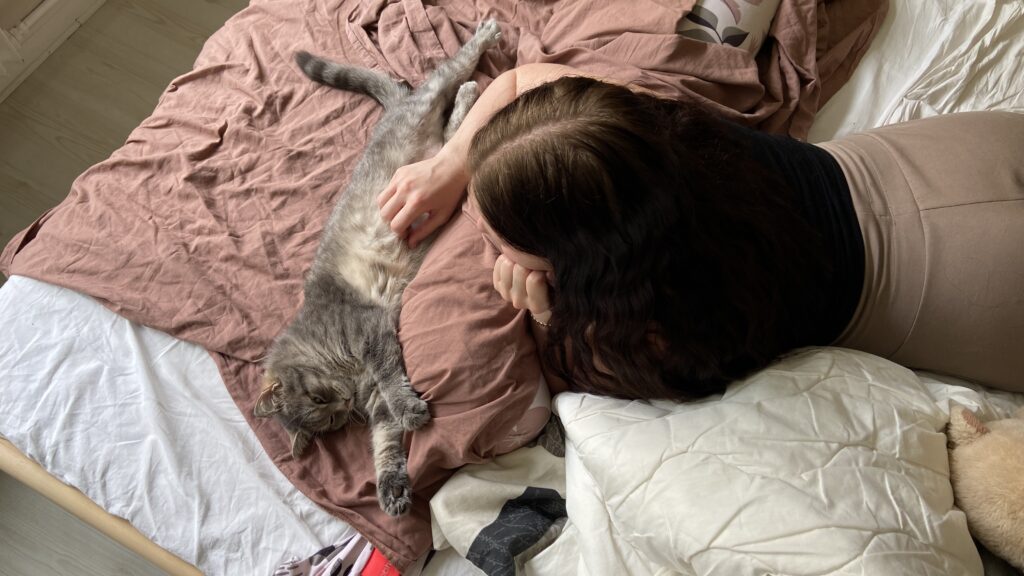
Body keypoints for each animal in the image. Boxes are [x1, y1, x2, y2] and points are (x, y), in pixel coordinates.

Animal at [251, 19, 499, 516]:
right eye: (330, 417)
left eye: (319, 397)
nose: (345, 401)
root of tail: (392, 109)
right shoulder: (372, 394)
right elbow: (385, 439)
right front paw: (392, 487)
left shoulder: (371, 333)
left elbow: (390, 379)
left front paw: (410, 410)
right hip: (437, 146)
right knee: (453, 130)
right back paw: (470, 95)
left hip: (421, 106)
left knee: (444, 74)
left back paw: (482, 41)